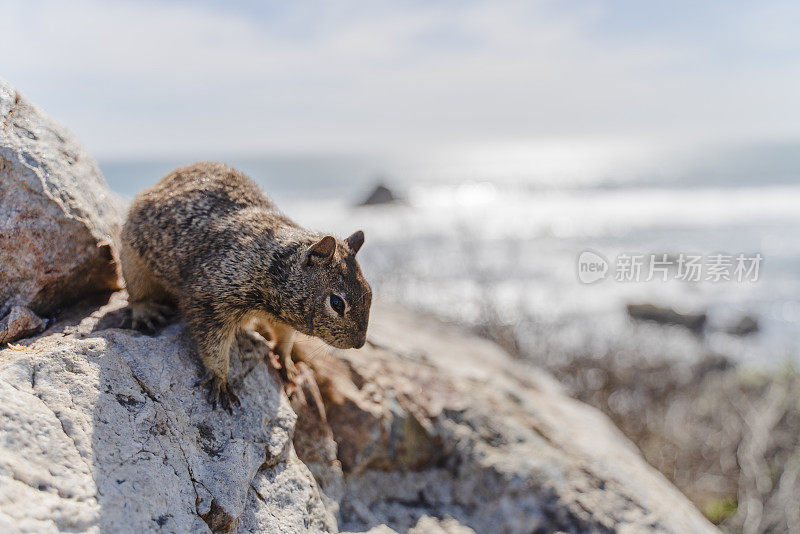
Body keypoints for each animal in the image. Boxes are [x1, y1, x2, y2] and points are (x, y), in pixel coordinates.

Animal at [118, 161, 372, 412]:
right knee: (136, 294)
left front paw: (287, 363)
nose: (359, 344)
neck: (272, 265)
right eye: (337, 303)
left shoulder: (282, 317)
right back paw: (145, 312)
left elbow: (284, 338)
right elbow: (213, 345)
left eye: (370, 293)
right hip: (133, 263)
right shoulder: (210, 300)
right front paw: (220, 378)